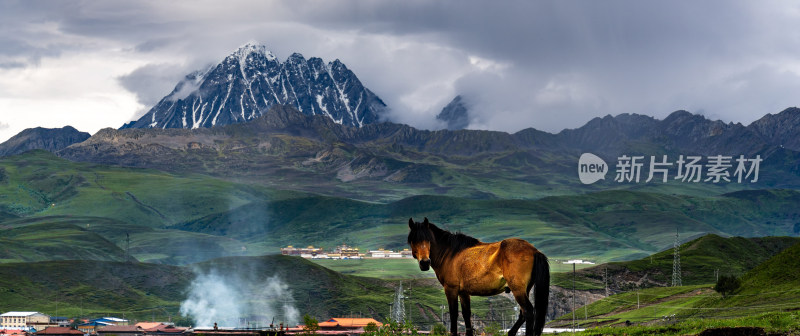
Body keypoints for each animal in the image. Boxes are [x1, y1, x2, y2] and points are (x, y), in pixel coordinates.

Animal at [410, 217, 548, 336]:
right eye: (414, 240)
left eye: (428, 239)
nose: (425, 262)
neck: (450, 254)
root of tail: (534, 251)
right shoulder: (463, 292)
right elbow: (466, 314)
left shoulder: (451, 289)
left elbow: (453, 314)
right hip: (525, 289)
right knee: (522, 314)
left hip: (518, 289)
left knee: (528, 312)